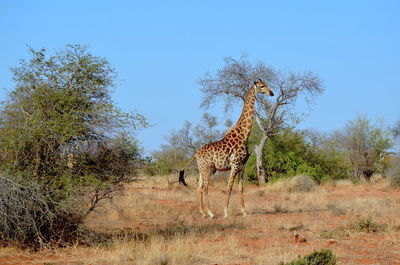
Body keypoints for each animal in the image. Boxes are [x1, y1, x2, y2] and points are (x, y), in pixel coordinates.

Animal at [180, 78, 274, 217]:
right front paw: (225, 212)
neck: (244, 135)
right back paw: (211, 213)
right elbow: (229, 187)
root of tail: (196, 154)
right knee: (205, 188)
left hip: (202, 169)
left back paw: (203, 212)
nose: (271, 93)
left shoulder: (242, 165)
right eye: (262, 86)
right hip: (208, 169)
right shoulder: (234, 164)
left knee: (199, 187)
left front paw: (244, 212)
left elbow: (240, 187)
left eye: (267, 85)